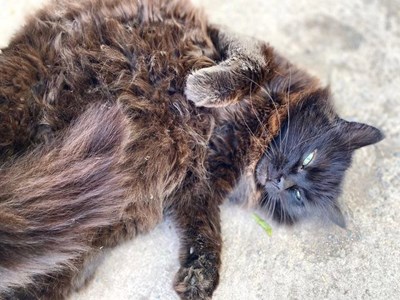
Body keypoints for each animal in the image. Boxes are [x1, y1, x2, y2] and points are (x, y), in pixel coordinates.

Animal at [0, 0, 382, 298]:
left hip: (87, 230)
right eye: (307, 159)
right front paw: (200, 88)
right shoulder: (237, 42)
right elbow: (249, 66)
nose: (281, 181)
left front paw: (201, 278)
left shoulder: (201, 186)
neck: (252, 139)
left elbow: (206, 234)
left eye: (298, 196)